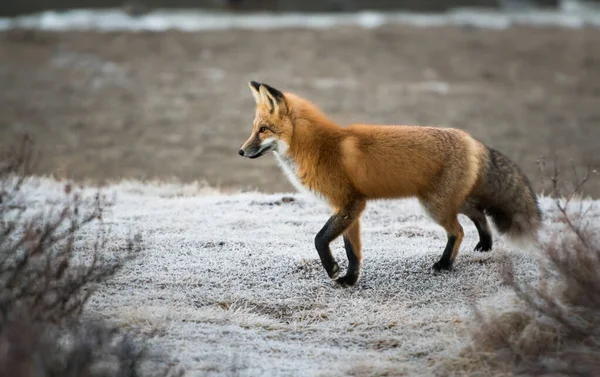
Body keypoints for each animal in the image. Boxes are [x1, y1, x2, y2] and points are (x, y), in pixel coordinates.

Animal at [239, 81, 544, 284]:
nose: (241, 152)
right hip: (446, 200)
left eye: (263, 130)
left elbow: (320, 238)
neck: (320, 148)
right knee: (478, 212)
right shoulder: (351, 209)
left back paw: (445, 264)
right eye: (254, 129)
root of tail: (471, 140)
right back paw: (485, 244)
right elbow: (353, 250)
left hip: (435, 205)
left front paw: (334, 270)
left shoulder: (349, 204)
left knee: (457, 231)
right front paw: (350, 279)